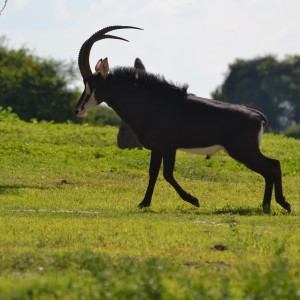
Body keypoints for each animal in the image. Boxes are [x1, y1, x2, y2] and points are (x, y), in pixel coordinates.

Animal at [75, 25, 290, 213]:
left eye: (91, 84)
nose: (78, 110)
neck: (149, 102)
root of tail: (257, 115)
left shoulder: (169, 147)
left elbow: (167, 174)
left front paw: (193, 200)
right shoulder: (157, 148)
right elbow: (153, 173)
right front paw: (144, 203)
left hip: (242, 150)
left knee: (273, 165)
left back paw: (282, 204)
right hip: (244, 151)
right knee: (270, 168)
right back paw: (267, 206)